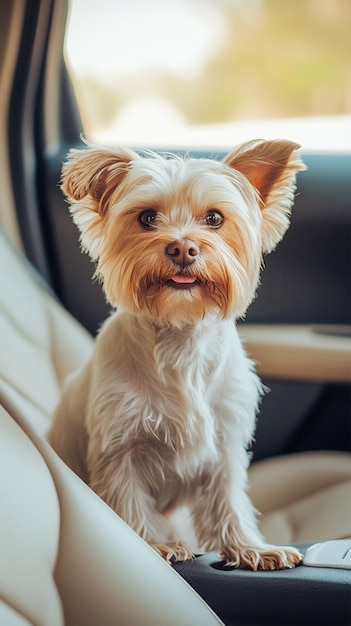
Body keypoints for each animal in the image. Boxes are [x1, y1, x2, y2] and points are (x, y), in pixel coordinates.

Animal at [49, 139, 308, 568]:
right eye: (147, 217)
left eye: (215, 218)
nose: (183, 247)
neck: (180, 335)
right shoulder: (120, 445)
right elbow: (126, 496)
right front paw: (152, 545)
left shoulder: (224, 440)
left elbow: (228, 498)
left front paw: (249, 547)